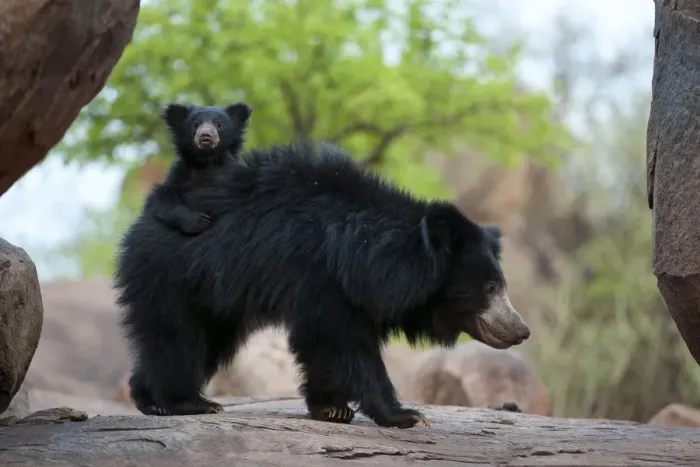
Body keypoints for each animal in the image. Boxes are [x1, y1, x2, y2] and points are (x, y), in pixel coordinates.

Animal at [114, 141, 531, 429]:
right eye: (491, 287)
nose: (522, 331)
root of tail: (140, 223)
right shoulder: (321, 274)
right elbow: (339, 341)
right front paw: (406, 415)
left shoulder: (350, 289)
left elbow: (325, 346)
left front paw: (331, 408)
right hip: (173, 274)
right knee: (178, 337)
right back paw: (186, 402)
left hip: (213, 297)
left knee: (202, 341)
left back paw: (148, 398)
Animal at [145, 101, 252, 236]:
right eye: (196, 124)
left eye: (219, 124)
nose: (205, 135)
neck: (206, 160)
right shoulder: (179, 171)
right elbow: (161, 196)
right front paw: (199, 222)